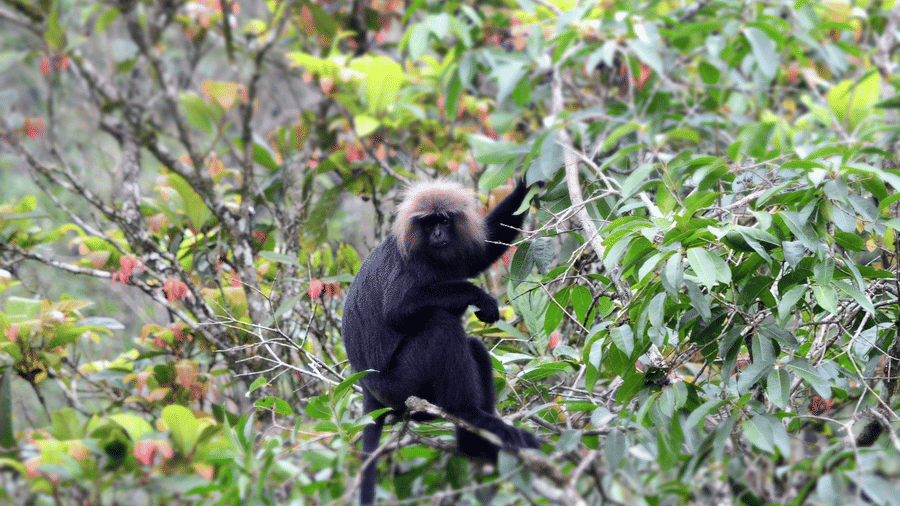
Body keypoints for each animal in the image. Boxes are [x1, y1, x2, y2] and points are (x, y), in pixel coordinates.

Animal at [341, 178, 540, 505]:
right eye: (429, 223)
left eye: (444, 221)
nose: (437, 234)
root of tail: (369, 388)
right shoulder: (412, 264)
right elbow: (397, 311)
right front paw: (476, 295)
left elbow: (479, 254)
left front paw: (529, 181)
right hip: (400, 384)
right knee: (439, 324)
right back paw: (469, 415)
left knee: (474, 347)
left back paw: (476, 441)